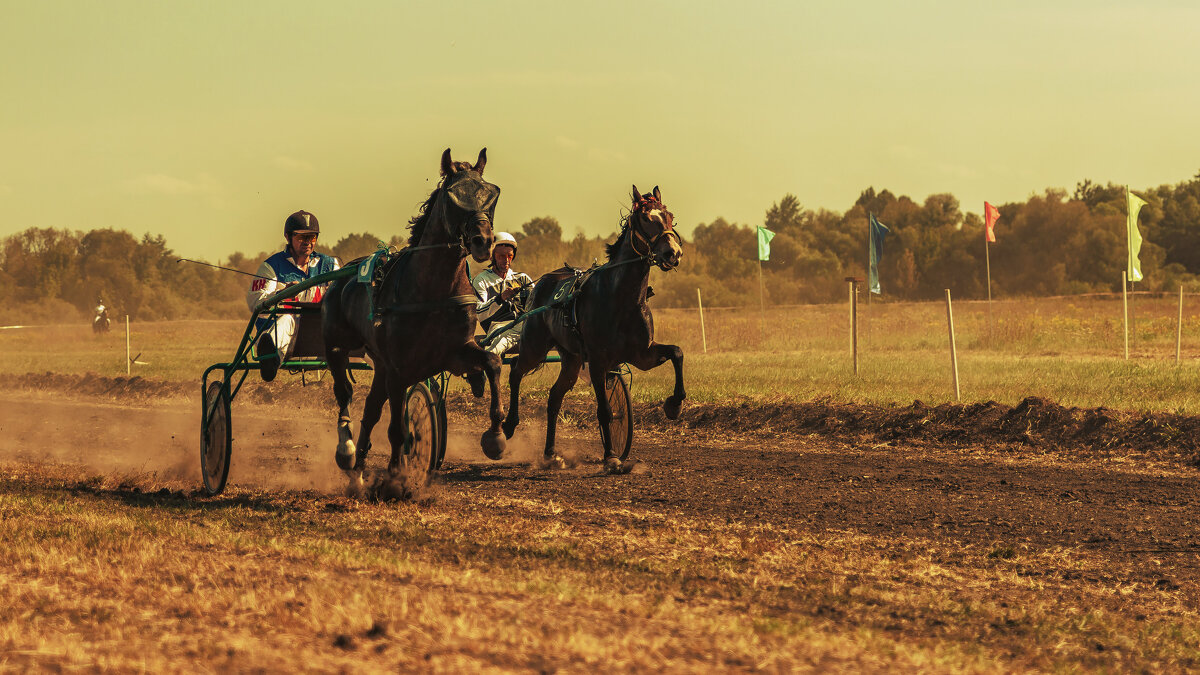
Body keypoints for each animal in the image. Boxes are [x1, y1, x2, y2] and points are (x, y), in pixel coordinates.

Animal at [321, 147, 504, 487]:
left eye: (491, 193)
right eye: (453, 196)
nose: (483, 241)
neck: (433, 292)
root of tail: (343, 275)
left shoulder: (454, 353)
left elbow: (492, 362)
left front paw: (496, 436)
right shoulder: (398, 367)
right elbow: (396, 428)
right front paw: (395, 476)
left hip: (379, 364)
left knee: (370, 410)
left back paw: (358, 472)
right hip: (337, 346)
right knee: (345, 394)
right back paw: (347, 452)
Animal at [496, 183, 686, 468]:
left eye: (670, 216)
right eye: (645, 218)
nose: (673, 253)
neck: (620, 298)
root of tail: (538, 284)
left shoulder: (643, 354)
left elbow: (676, 352)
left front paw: (674, 404)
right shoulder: (597, 360)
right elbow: (605, 410)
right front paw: (611, 456)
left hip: (572, 359)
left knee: (554, 397)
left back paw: (550, 452)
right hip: (534, 345)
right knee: (516, 372)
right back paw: (508, 426)